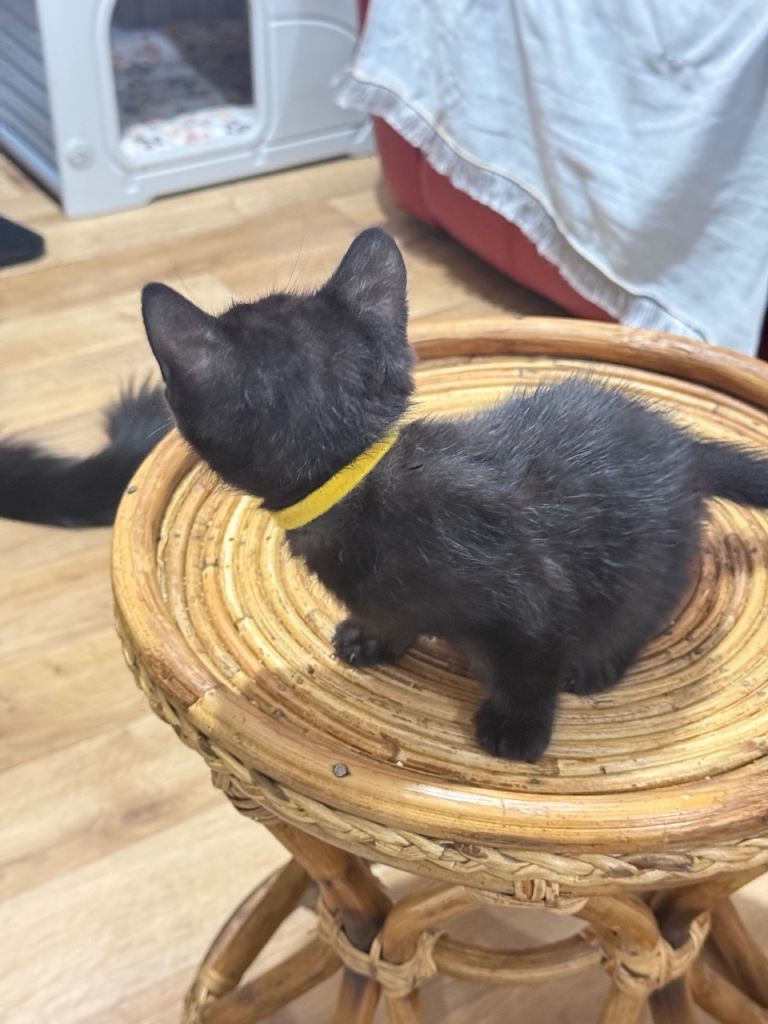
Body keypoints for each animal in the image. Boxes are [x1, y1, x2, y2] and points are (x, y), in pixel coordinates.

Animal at [141, 228, 768, 762]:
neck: (358, 478)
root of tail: (687, 445)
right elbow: (388, 614)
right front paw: (373, 635)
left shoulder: (530, 605)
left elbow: (528, 670)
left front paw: (516, 730)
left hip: (649, 568)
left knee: (643, 611)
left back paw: (598, 666)